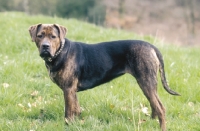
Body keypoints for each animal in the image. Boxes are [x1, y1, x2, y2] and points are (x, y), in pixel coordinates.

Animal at [28, 23, 180, 131]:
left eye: (53, 37)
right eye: (40, 35)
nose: (45, 46)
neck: (60, 52)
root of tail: (152, 47)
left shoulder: (68, 89)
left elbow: (68, 113)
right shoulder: (72, 91)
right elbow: (76, 110)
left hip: (146, 82)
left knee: (161, 109)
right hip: (149, 84)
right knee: (156, 106)